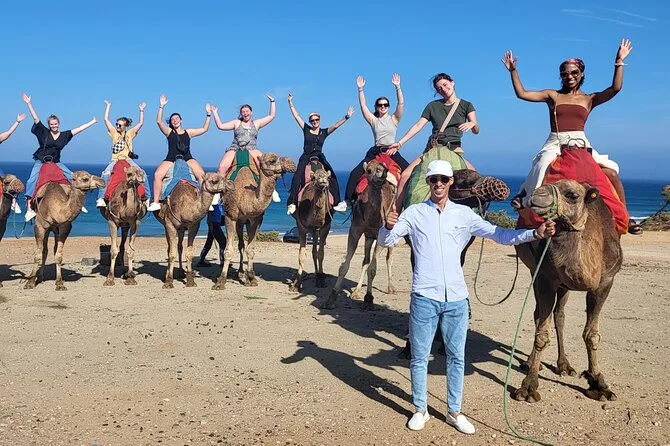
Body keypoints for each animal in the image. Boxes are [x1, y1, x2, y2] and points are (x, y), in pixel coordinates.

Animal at [214, 152, 296, 290]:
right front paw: (221, 281)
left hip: (244, 222)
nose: (292, 163)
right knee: (240, 245)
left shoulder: (256, 220)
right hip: (239, 222)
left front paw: (251, 278)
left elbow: (251, 250)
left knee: (243, 246)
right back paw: (240, 272)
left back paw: (243, 273)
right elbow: (228, 251)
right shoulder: (230, 217)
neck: (245, 196)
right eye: (272, 160)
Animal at [323, 160, 397, 310]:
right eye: (369, 170)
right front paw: (331, 298)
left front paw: (368, 298)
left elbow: (373, 269)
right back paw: (356, 291)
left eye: (384, 168)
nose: (382, 172)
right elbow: (345, 266)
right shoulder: (355, 230)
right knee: (366, 261)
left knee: (389, 258)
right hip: (368, 237)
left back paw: (391, 287)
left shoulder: (380, 235)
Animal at [513, 180, 622, 403]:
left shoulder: (605, 282)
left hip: (564, 287)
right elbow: (542, 333)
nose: (536, 196)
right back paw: (531, 362)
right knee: (539, 314)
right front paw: (528, 387)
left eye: (572, 195)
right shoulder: (545, 278)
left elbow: (592, 334)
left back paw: (564, 365)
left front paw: (599, 383)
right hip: (535, 272)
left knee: (560, 315)